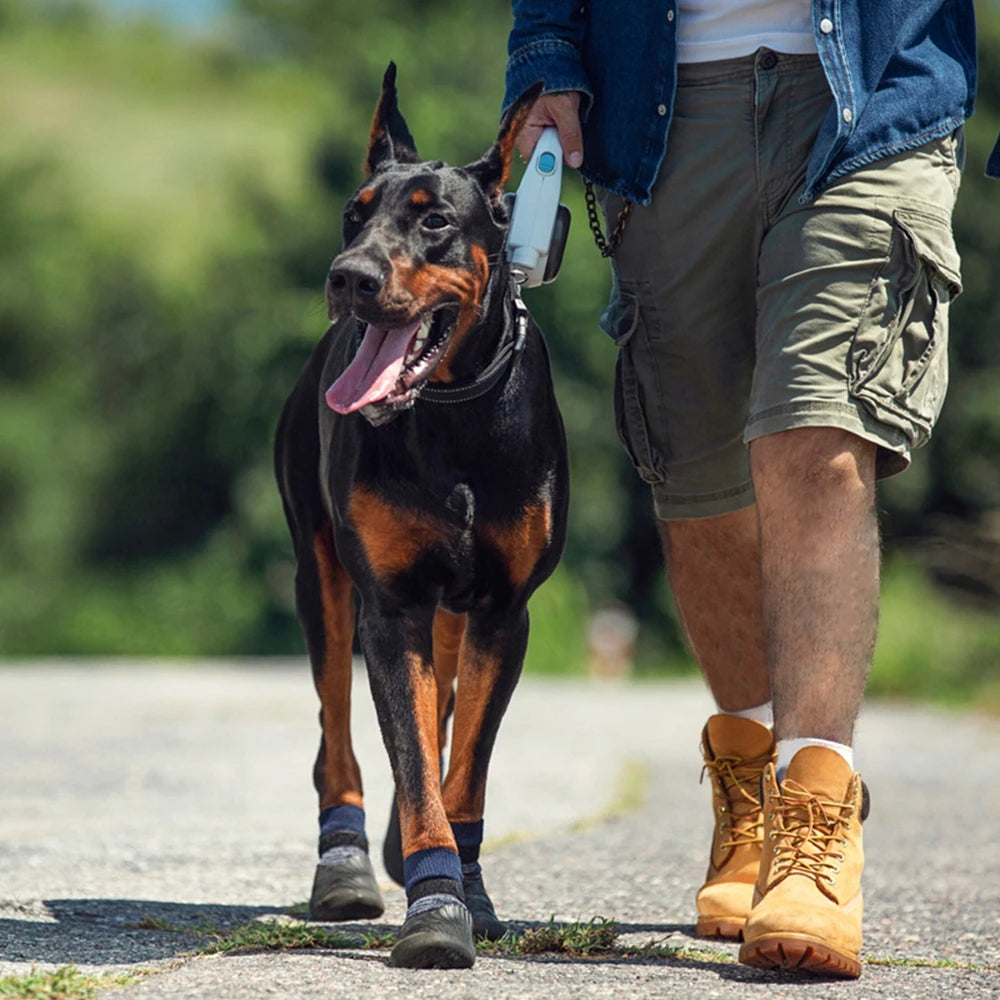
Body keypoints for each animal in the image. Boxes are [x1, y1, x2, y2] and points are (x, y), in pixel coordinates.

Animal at [274, 64, 572, 968]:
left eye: (435, 219)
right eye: (354, 211)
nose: (350, 277)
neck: (450, 412)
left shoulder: (505, 609)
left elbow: (461, 762)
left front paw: (464, 889)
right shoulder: (391, 603)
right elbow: (410, 754)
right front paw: (437, 905)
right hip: (322, 575)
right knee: (337, 729)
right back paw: (346, 861)